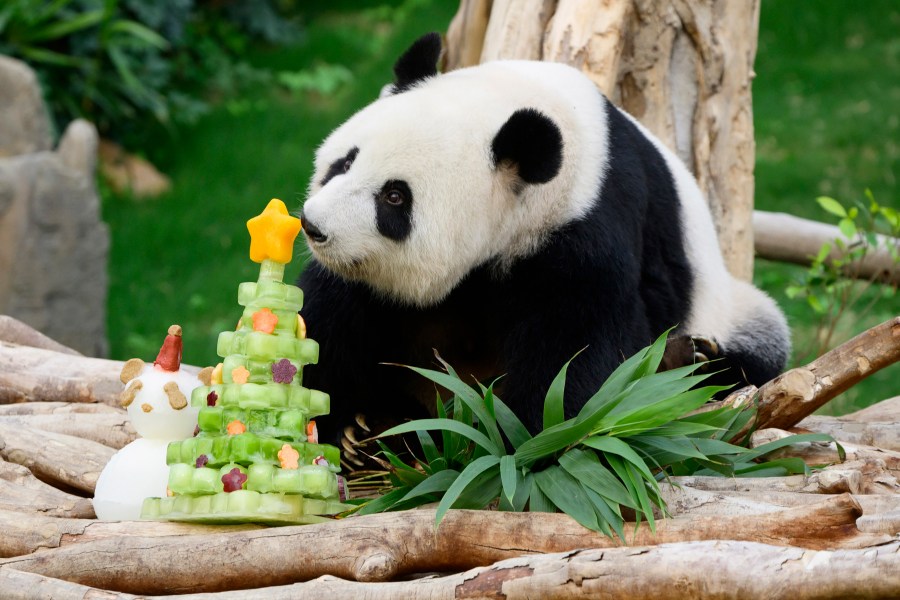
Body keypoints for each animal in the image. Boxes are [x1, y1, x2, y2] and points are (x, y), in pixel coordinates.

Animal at [298, 34, 788, 454]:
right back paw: (377, 433)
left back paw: (692, 359)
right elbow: (331, 319)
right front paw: (344, 423)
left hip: (725, 306)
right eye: (345, 162)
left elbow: (577, 352)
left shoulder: (585, 225)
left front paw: (514, 439)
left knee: (756, 352)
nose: (313, 226)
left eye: (395, 197)